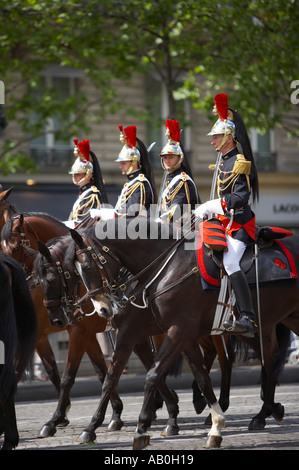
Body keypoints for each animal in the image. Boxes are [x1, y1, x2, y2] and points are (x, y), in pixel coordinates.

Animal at [65, 218, 298, 450]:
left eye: (86, 267)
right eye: (74, 272)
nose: (102, 309)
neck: (166, 267)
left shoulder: (175, 331)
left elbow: (152, 374)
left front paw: (142, 428)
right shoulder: (169, 334)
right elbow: (200, 378)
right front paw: (215, 427)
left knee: (257, 358)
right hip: (281, 320)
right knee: (269, 357)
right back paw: (264, 412)